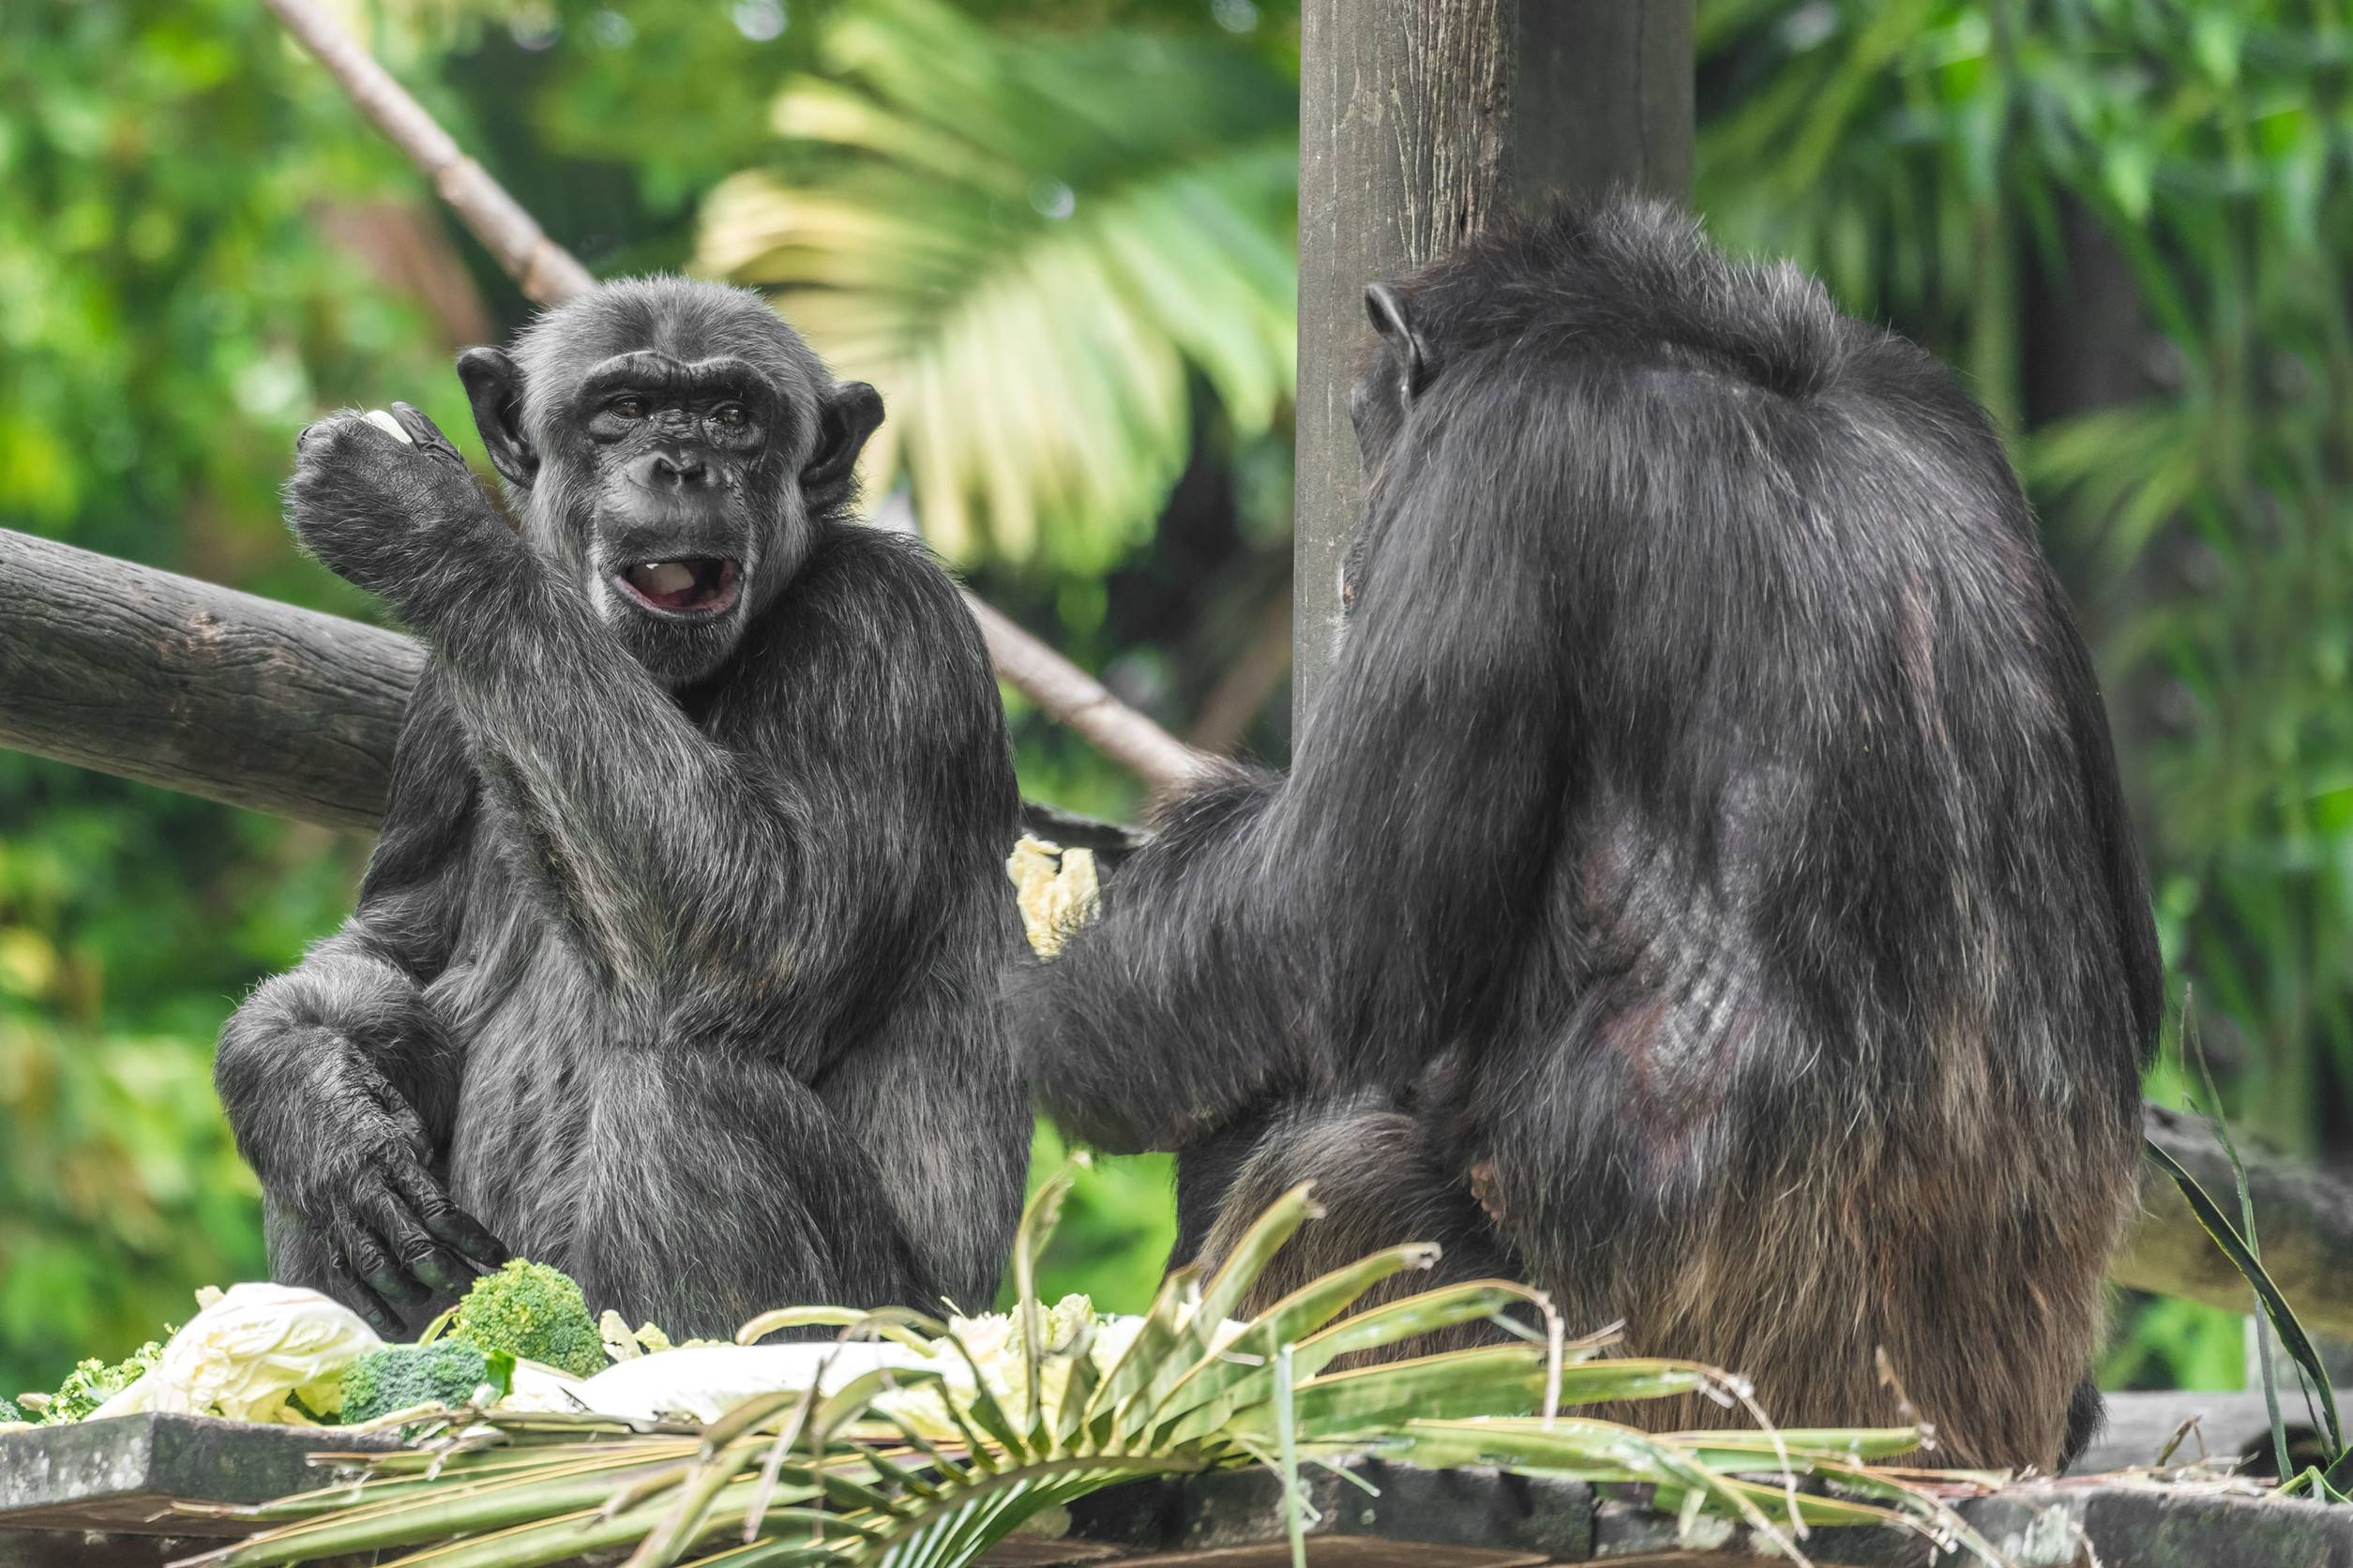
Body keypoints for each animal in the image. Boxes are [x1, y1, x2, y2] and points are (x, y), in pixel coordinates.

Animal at [216, 278, 1028, 1340]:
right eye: (626, 409)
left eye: (732, 415)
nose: (681, 464)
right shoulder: (436, 703)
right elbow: (392, 946)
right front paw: (309, 1095)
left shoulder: (893, 632)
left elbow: (775, 924)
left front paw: (416, 515)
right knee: (388, 1030)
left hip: (893, 1326)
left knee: (675, 1081)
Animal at [1009, 199, 2159, 1471]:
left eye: (1369, 425)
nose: (1358, 545)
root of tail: (1956, 1443)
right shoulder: (1954, 414)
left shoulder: (1495, 463)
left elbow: (1317, 928)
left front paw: (1045, 1002)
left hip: (1612, 1392)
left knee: (1336, 1175)